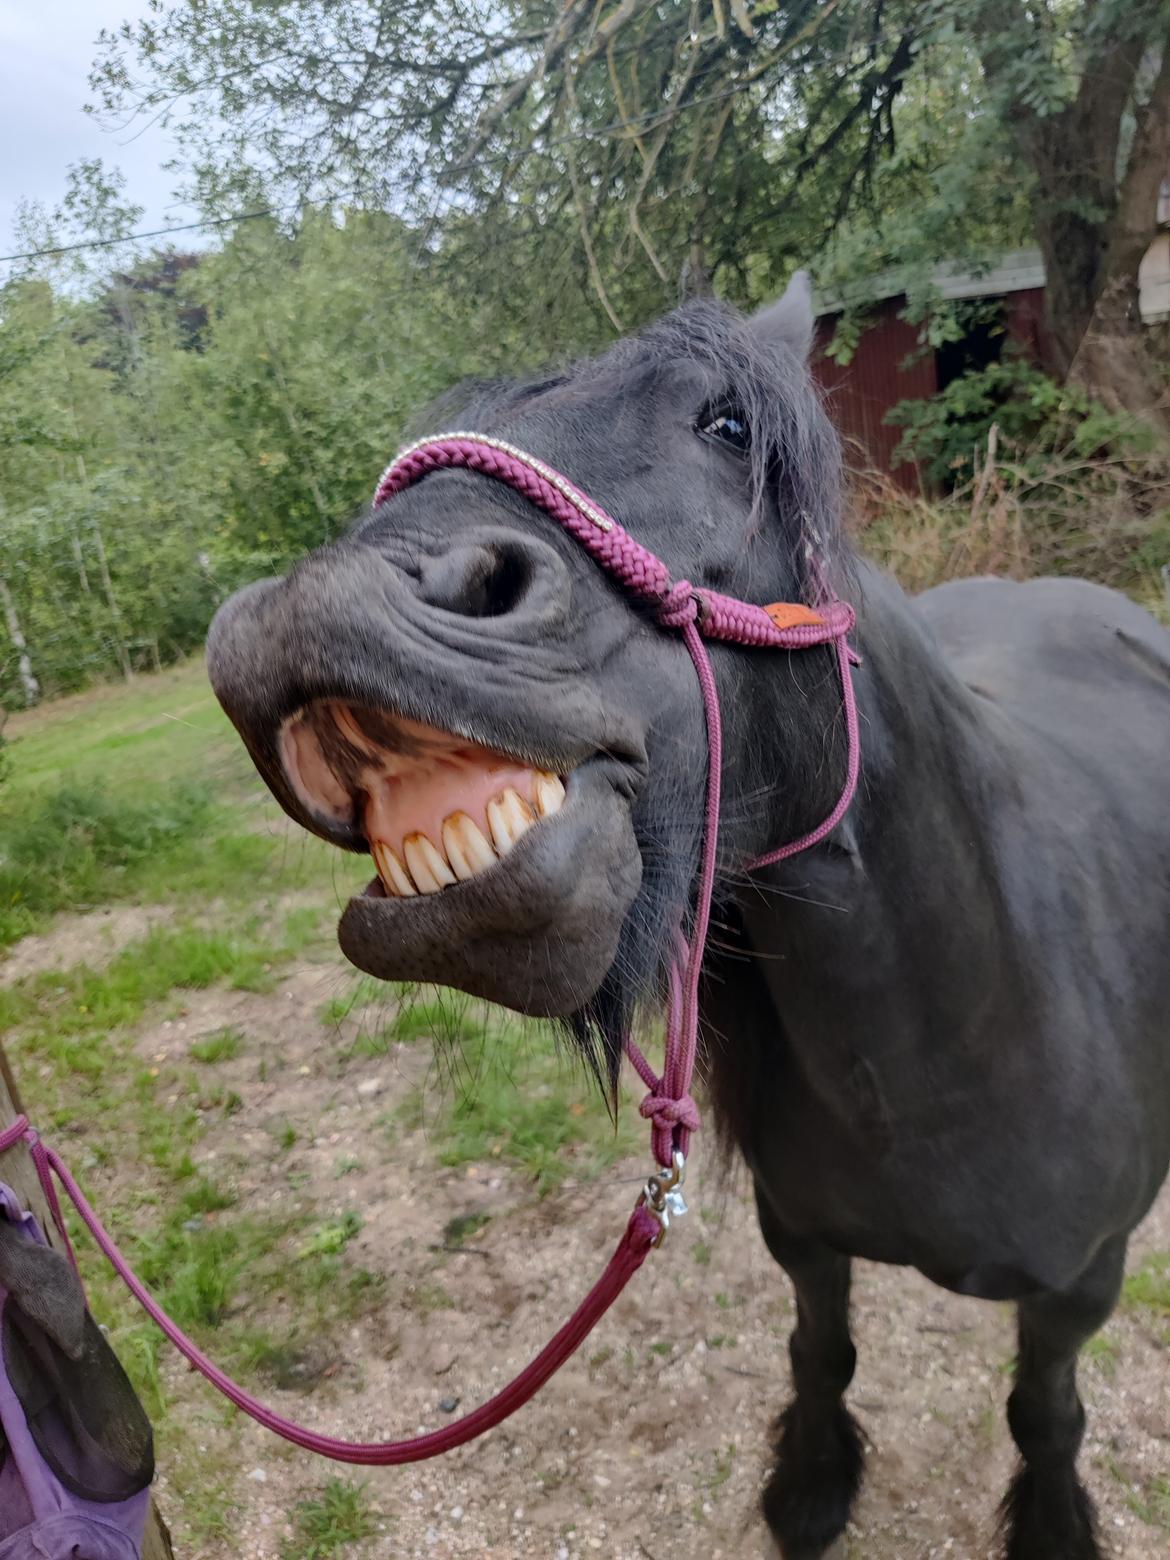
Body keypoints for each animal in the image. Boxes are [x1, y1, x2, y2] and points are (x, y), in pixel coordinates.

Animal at [206, 276, 1170, 1559]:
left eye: (727, 425)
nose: (304, 613)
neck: (973, 1037)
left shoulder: (1079, 1285)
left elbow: (1043, 1413)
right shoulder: (801, 1236)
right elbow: (821, 1355)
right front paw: (811, 1487)